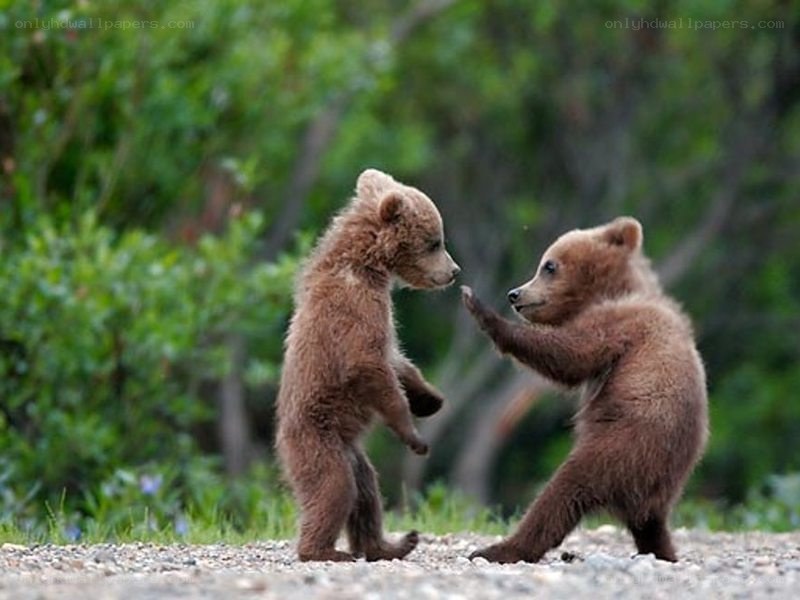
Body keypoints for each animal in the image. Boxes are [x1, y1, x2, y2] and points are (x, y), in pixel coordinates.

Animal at [276, 168, 460, 562]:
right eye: (434, 242)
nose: (454, 271)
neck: (368, 266)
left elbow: (397, 360)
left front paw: (430, 398)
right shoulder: (355, 309)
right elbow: (367, 364)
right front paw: (415, 436)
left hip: (352, 452)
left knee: (366, 493)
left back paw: (391, 544)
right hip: (318, 440)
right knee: (334, 488)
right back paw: (324, 551)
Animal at [461, 216, 708, 563]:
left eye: (548, 265)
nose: (514, 294)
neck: (613, 291)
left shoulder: (619, 325)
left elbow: (571, 355)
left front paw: (479, 307)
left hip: (622, 446)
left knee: (562, 491)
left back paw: (500, 548)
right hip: (658, 480)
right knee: (650, 524)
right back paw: (663, 551)